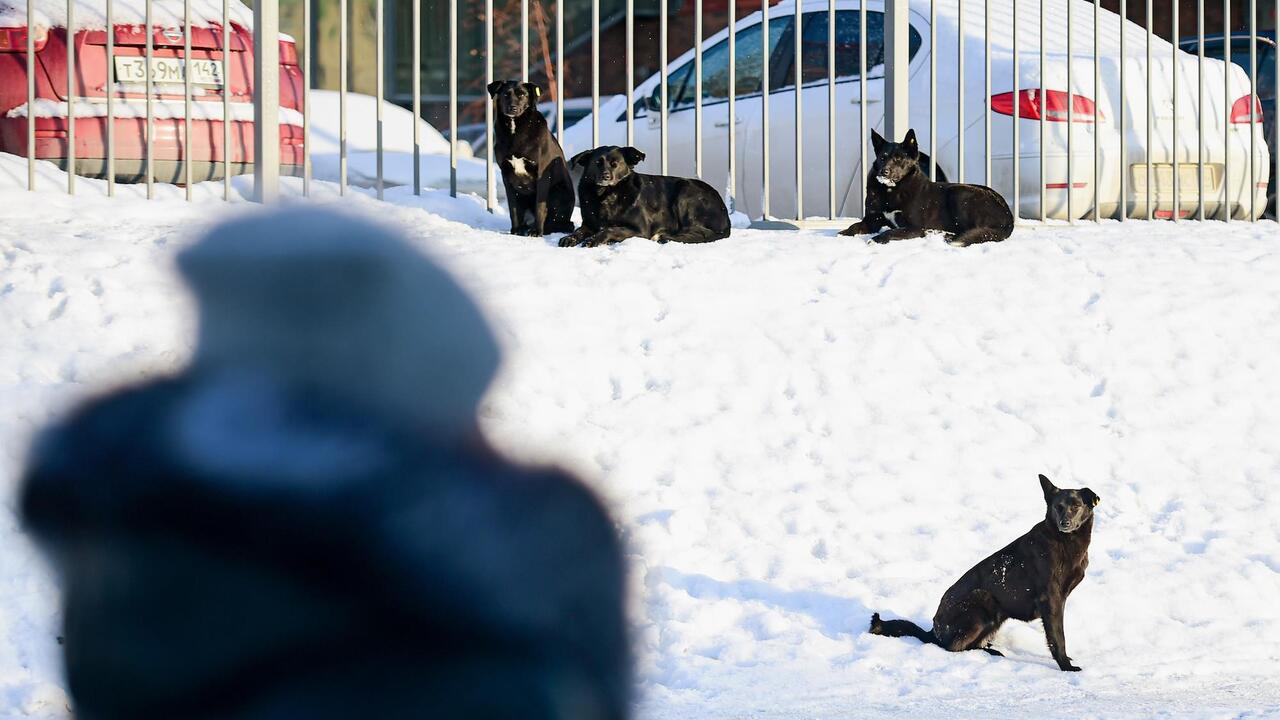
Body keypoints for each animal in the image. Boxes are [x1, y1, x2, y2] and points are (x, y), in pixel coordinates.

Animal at [483, 78, 576, 235]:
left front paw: (537, 232)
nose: (512, 108)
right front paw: (515, 230)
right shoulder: (506, 175)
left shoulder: (542, 175)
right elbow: (513, 209)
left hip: (558, 192)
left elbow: (540, 207)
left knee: (561, 223)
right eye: (505, 94)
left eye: (522, 95)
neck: (515, 129)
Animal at [560, 144, 732, 248]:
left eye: (616, 164)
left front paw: (593, 239)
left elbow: (609, 229)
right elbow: (579, 231)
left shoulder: (640, 229)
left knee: (700, 232)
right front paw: (570, 237)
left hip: (685, 192)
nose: (606, 176)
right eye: (597, 163)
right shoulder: (589, 224)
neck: (607, 195)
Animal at [834, 125, 1013, 243]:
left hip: (959, 193)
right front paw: (843, 233)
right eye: (883, 157)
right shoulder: (872, 220)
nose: (884, 172)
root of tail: (1008, 216)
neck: (891, 190)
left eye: (899, 159)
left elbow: (890, 233)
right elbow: (855, 226)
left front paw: (876, 239)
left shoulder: (915, 227)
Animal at [870, 474, 1100, 671]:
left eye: (1076, 506)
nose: (1065, 523)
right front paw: (1066, 666)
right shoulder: (1051, 600)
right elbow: (1057, 638)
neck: (1064, 541)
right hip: (983, 601)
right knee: (953, 647)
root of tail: (933, 632)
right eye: (1057, 507)